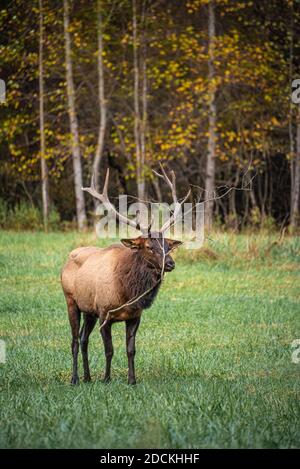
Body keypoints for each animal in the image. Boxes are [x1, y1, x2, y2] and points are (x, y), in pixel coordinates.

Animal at [61, 165, 190, 384]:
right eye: (149, 246)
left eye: (167, 246)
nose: (171, 263)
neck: (127, 293)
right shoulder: (104, 312)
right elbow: (109, 350)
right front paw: (106, 379)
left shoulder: (134, 316)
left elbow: (131, 350)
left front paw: (132, 380)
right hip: (71, 301)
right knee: (75, 340)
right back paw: (75, 379)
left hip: (88, 310)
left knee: (84, 339)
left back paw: (87, 377)